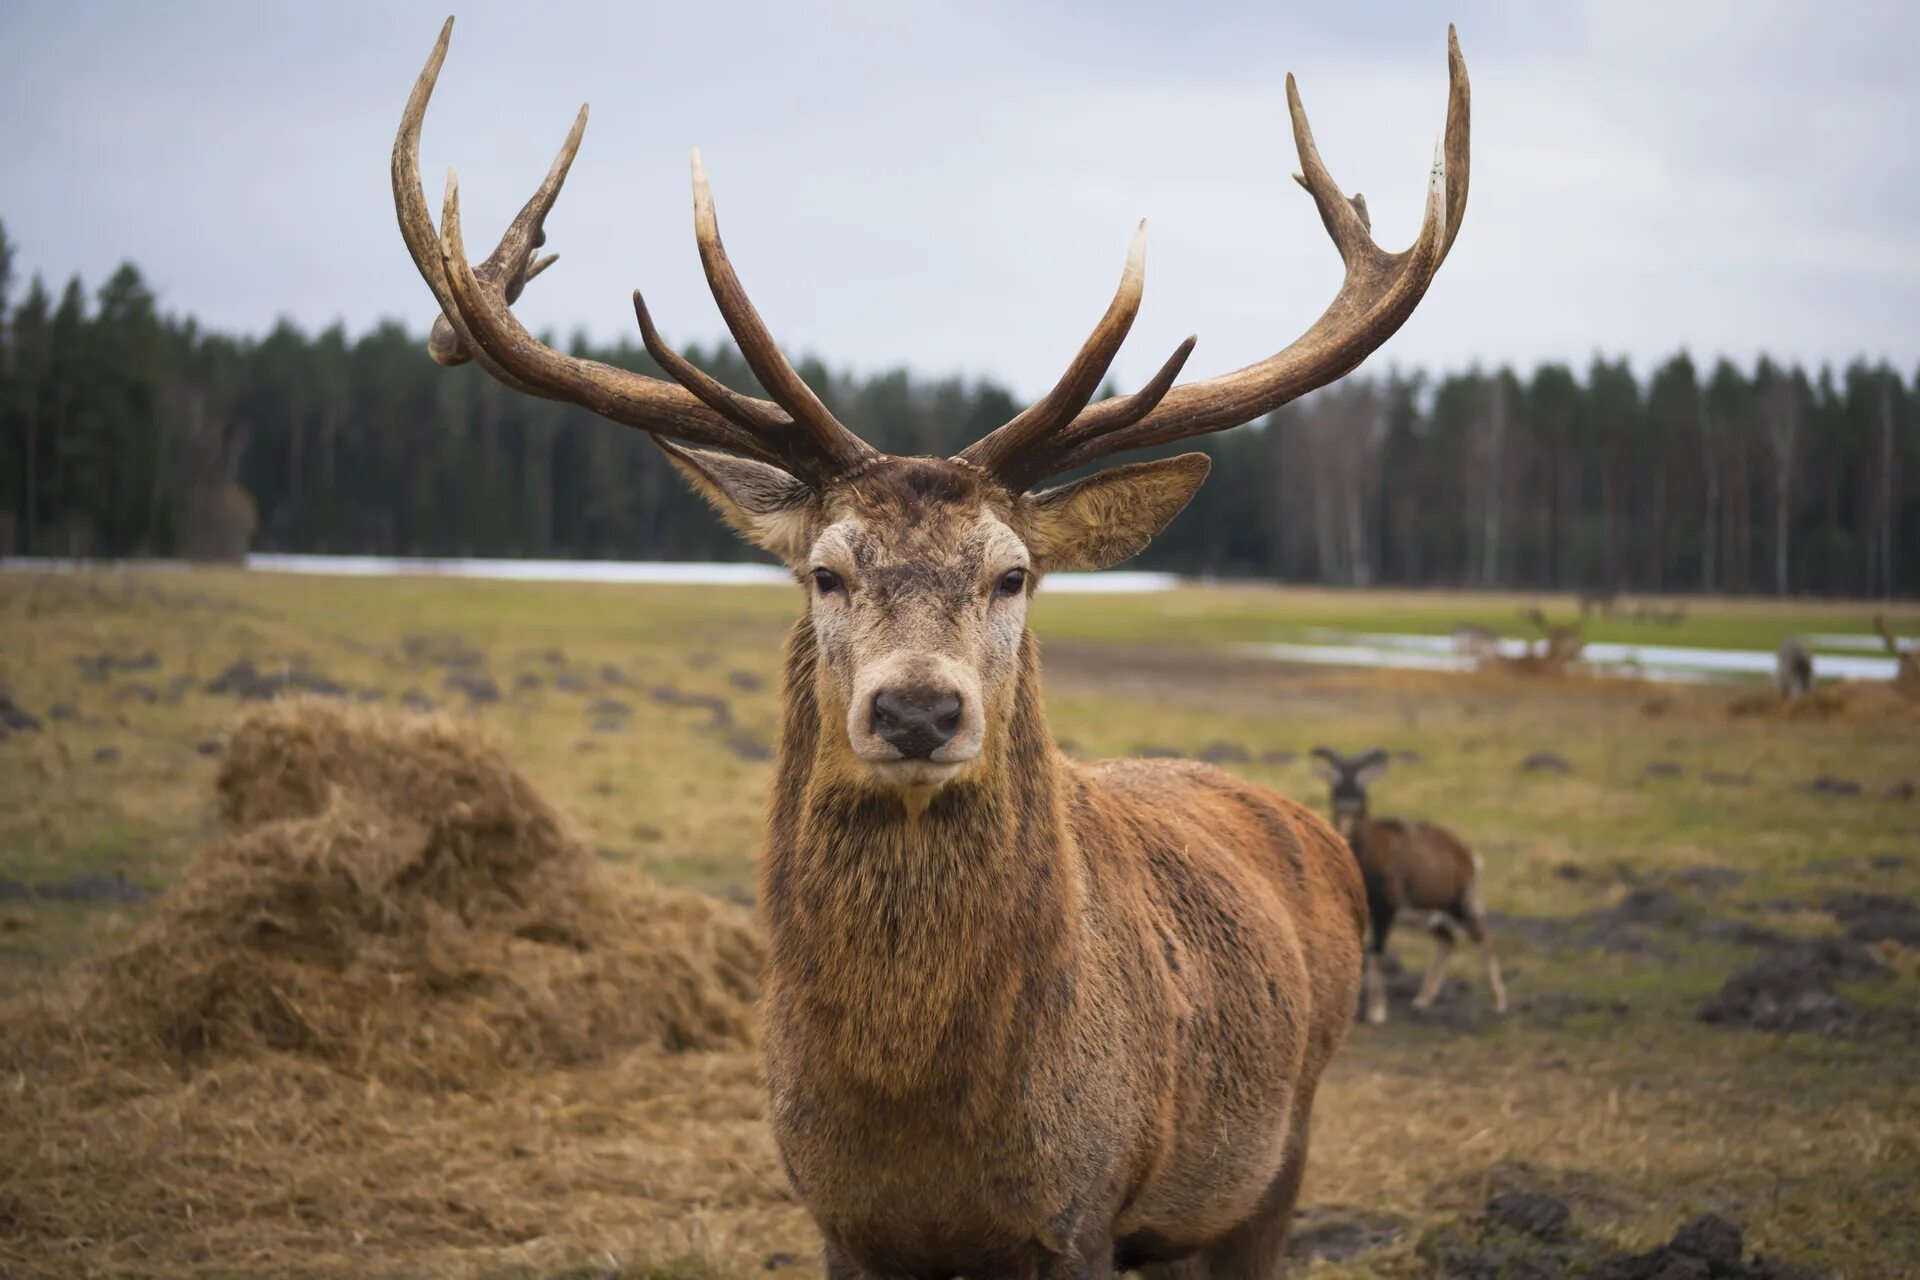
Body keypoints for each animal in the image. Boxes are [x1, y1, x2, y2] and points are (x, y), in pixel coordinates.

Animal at [389, 20, 1466, 1280]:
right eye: (824, 570)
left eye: (1013, 573)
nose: (916, 711)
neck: (921, 1118)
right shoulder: (837, 1215)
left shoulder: (1083, 1207)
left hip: (1277, 1155)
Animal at [1313, 744, 1505, 1028]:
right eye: (1336, 780)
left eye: (1361, 781)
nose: (1348, 804)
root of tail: (1467, 853)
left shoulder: (1385, 911)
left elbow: (1377, 954)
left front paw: (1377, 1013)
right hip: (1431, 916)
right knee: (1448, 940)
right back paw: (1421, 1001)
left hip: (1460, 905)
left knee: (1484, 937)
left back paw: (1498, 1002)